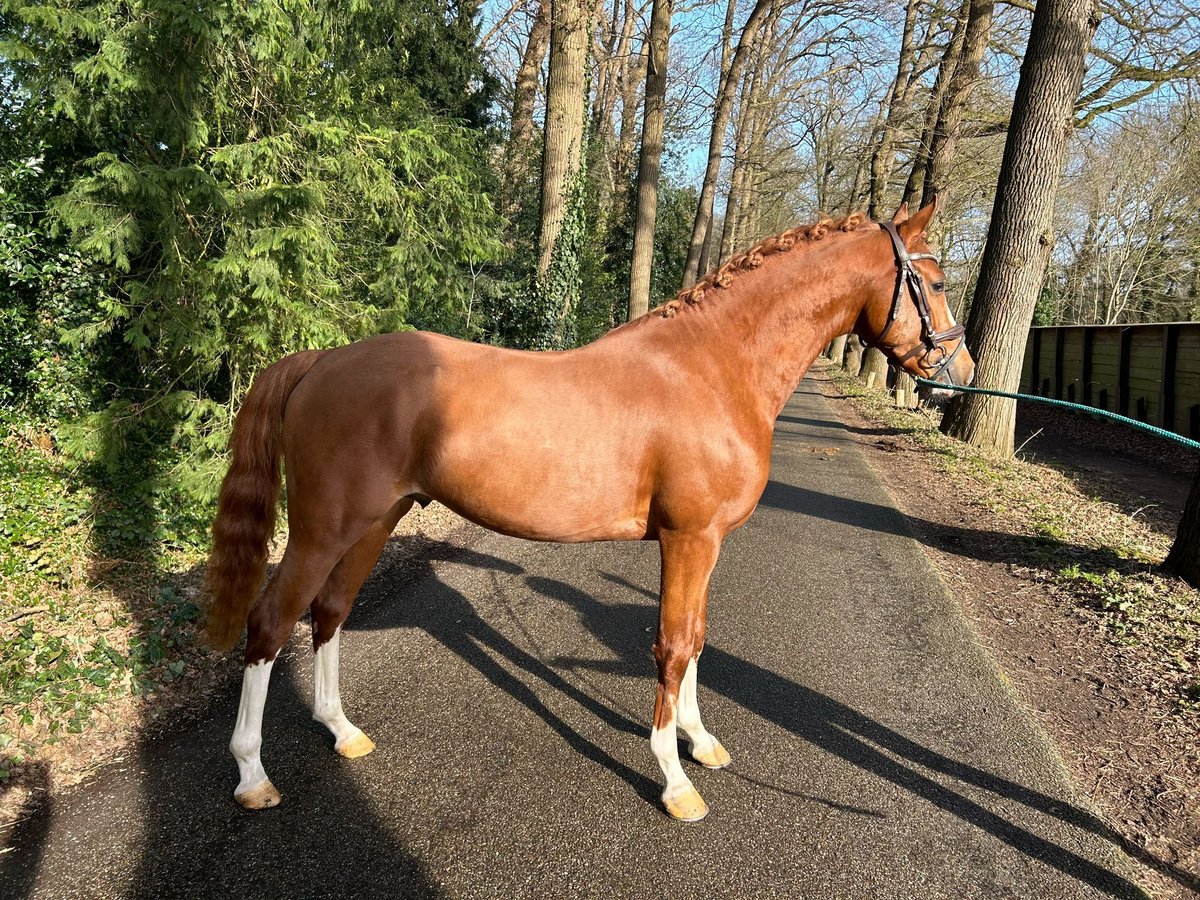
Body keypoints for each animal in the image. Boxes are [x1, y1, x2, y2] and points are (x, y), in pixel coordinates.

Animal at [206, 199, 974, 825]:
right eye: (935, 283)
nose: (959, 375)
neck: (712, 368)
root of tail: (321, 360)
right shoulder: (689, 539)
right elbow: (672, 645)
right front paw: (675, 781)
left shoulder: (707, 543)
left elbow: (698, 638)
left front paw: (701, 742)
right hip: (321, 530)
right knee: (271, 621)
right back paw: (252, 774)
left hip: (376, 522)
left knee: (330, 612)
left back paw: (342, 731)